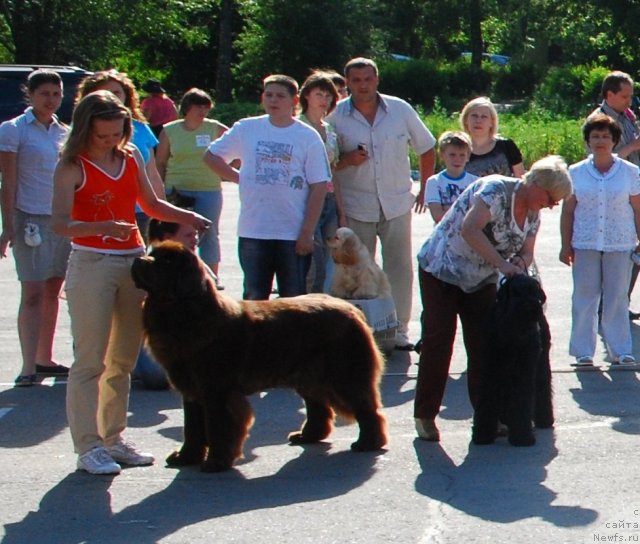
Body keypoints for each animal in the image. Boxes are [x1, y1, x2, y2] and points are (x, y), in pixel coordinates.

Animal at [470, 274, 556, 448]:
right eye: (516, 292)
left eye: (534, 290)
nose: (529, 306)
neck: (511, 329)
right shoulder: (491, 367)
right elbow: (486, 397)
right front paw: (482, 434)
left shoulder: (524, 368)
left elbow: (521, 397)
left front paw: (522, 437)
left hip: (541, 363)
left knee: (542, 388)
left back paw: (544, 419)